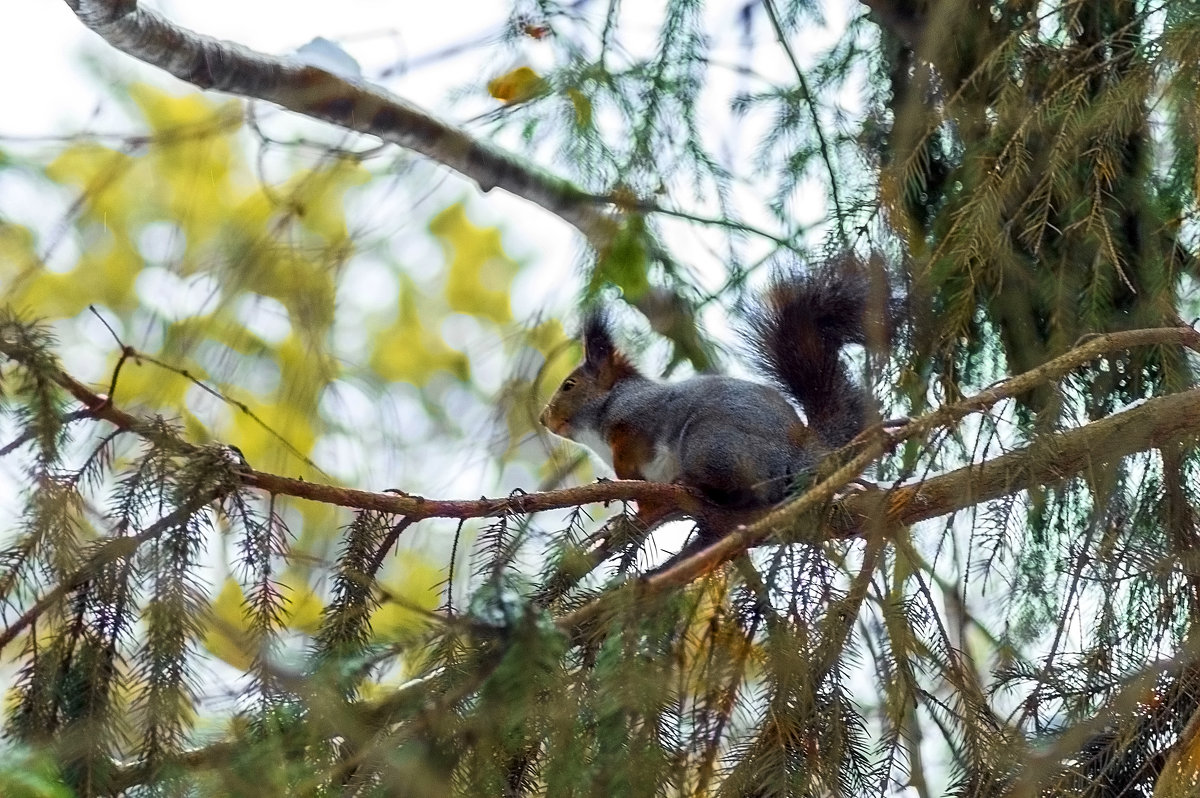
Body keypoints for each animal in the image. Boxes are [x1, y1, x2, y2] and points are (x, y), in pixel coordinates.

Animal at [542, 266, 873, 504]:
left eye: (569, 385)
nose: (543, 418)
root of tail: (802, 456)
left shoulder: (637, 416)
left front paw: (624, 478)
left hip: (709, 443)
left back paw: (693, 484)